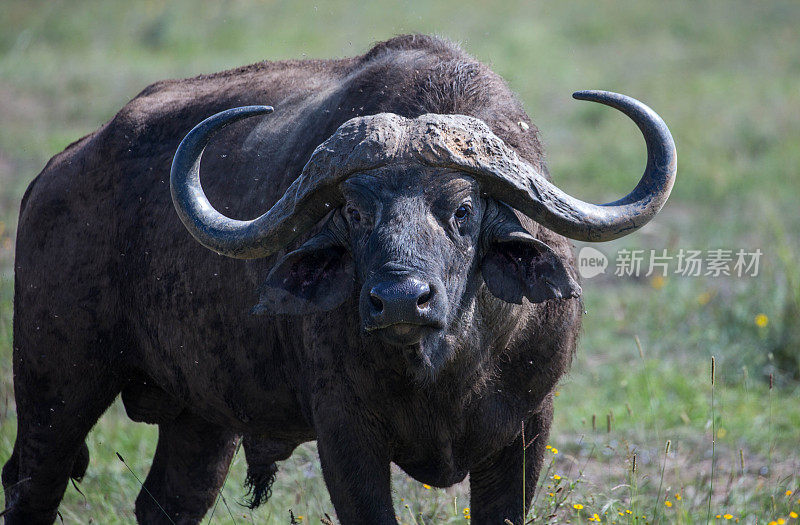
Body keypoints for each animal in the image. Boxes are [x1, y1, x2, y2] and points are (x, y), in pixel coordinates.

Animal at [3, 34, 676, 520]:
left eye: (462, 209)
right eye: (353, 212)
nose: (400, 300)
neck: (445, 367)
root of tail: (55, 173)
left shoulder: (526, 430)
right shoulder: (346, 435)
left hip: (202, 418)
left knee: (166, 502)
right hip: (56, 386)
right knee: (32, 483)